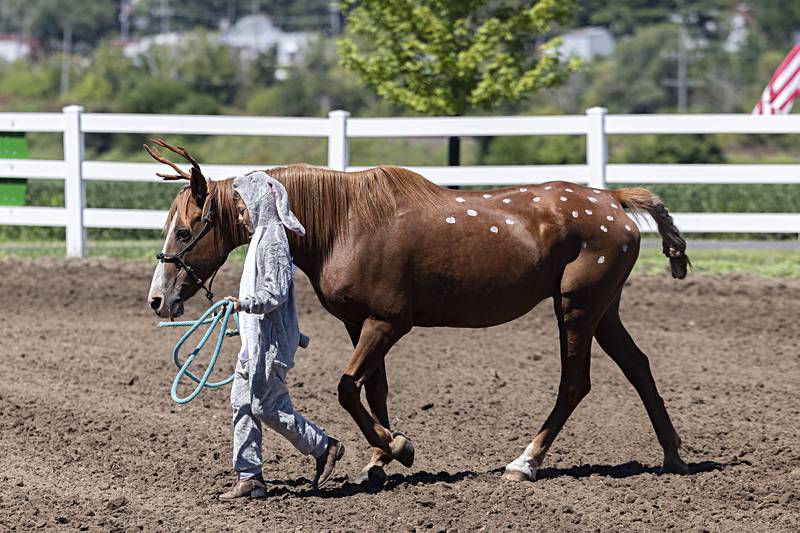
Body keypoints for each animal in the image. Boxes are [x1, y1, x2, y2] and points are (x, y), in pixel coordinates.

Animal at [145, 139, 692, 484]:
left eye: (185, 230)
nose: (159, 299)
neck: (343, 223)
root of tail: (614, 200)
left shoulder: (389, 323)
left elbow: (347, 389)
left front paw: (398, 448)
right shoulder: (360, 323)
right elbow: (373, 389)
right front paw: (378, 460)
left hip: (577, 309)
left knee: (575, 384)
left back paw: (525, 462)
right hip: (603, 310)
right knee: (638, 366)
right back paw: (672, 455)